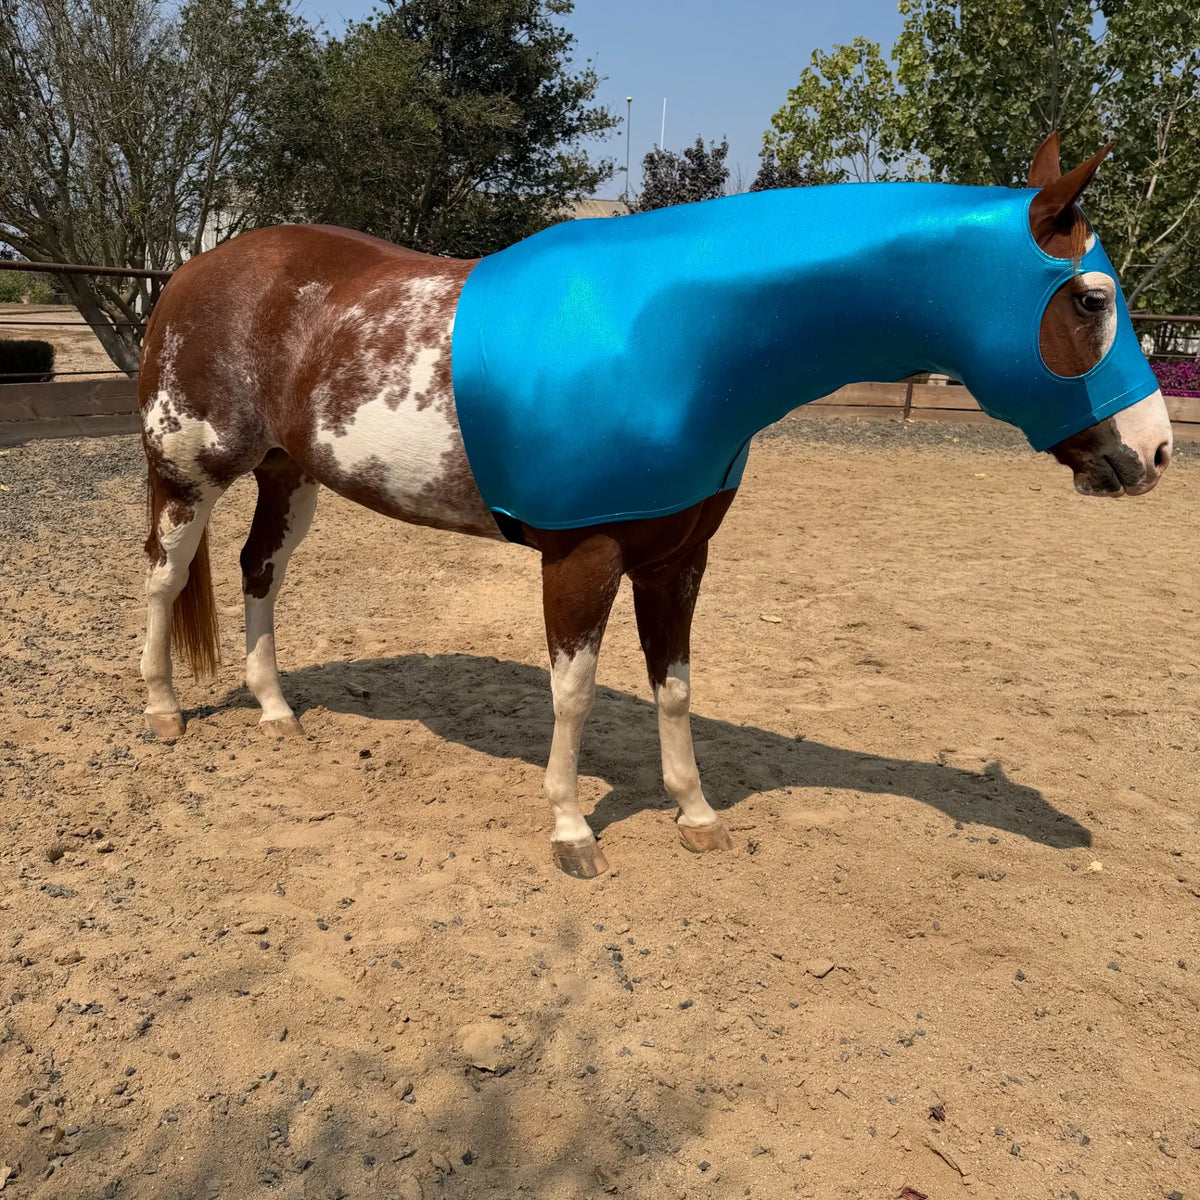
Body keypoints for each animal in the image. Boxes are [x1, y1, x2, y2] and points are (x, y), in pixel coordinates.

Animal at [137, 134, 1172, 879]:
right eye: (1091, 299)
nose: (1154, 451)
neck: (674, 332)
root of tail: (194, 269)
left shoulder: (678, 558)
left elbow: (673, 687)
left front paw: (697, 814)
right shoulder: (581, 555)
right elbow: (576, 692)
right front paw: (569, 829)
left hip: (290, 476)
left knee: (258, 571)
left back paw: (276, 710)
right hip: (191, 474)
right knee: (164, 577)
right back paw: (162, 711)